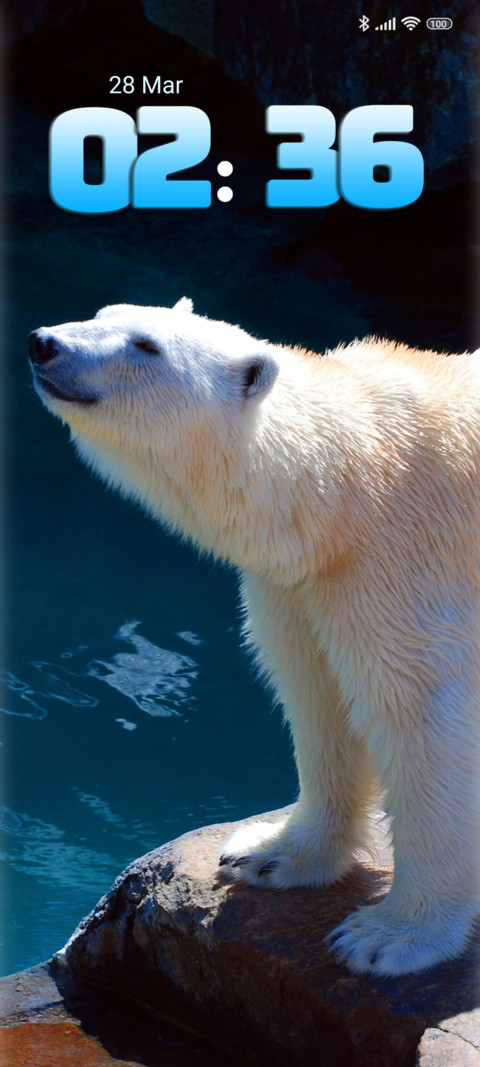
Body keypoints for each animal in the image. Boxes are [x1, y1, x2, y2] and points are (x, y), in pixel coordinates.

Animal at [29, 298, 480, 976]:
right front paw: (267, 853)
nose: (44, 343)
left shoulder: (406, 562)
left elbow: (425, 717)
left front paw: (387, 937)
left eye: (147, 345)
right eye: (103, 313)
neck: (349, 484)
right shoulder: (301, 585)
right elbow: (318, 693)